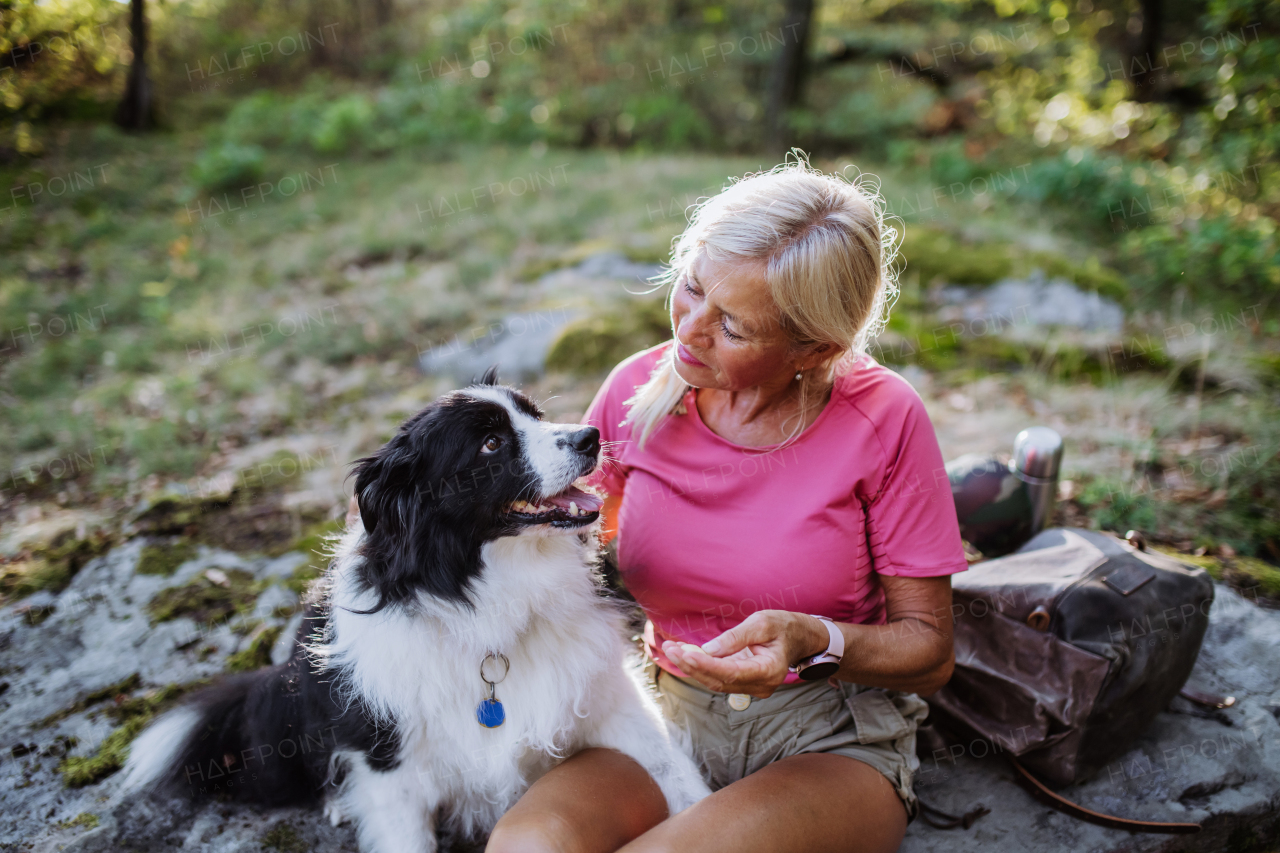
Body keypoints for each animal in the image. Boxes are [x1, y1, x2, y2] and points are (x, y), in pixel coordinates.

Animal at [122, 371, 711, 850]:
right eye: (491, 443)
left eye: (535, 415)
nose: (591, 437)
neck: (490, 596)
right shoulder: (393, 772)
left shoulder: (610, 697)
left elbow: (674, 768)